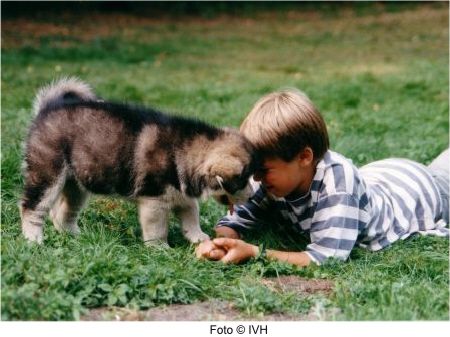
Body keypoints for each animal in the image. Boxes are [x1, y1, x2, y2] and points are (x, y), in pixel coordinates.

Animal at [20, 78, 256, 245]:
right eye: (243, 180)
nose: (253, 196)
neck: (183, 151)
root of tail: (48, 108)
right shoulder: (154, 201)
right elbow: (158, 228)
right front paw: (160, 248)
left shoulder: (182, 194)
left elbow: (191, 215)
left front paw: (197, 237)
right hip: (47, 174)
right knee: (32, 207)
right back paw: (33, 238)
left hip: (77, 184)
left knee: (64, 212)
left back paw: (74, 235)